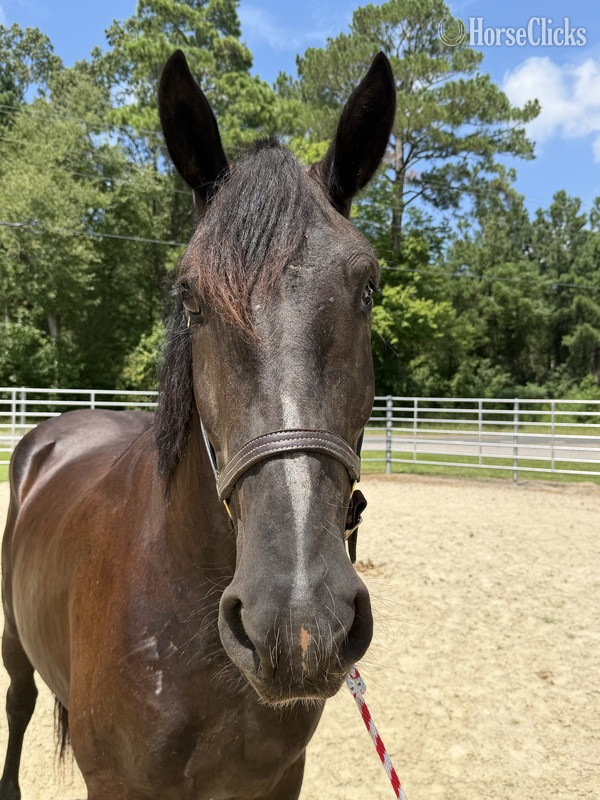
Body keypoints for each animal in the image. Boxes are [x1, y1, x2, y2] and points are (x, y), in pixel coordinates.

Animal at [0, 49, 395, 799]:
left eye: (368, 286)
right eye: (191, 299)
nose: (298, 623)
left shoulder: (279, 779)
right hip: (13, 643)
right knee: (18, 704)